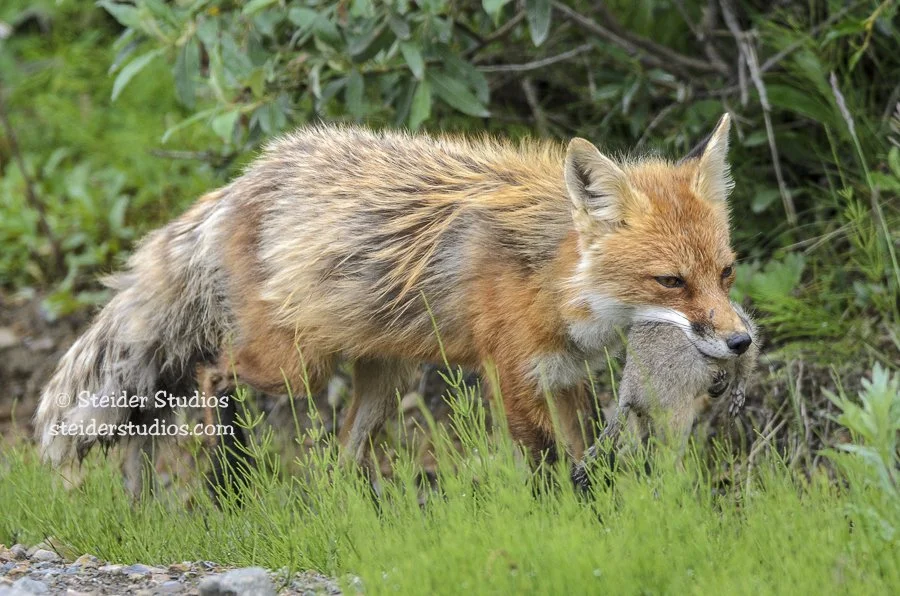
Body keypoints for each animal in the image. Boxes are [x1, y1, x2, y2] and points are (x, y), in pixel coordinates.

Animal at [34, 114, 752, 495]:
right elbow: (551, 465)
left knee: (342, 456)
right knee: (211, 372)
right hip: (296, 366)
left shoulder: (562, 374)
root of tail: (239, 183)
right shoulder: (514, 376)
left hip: (385, 377)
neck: (552, 278)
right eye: (670, 282)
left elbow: (583, 461)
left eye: (725, 272)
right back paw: (227, 479)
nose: (740, 342)